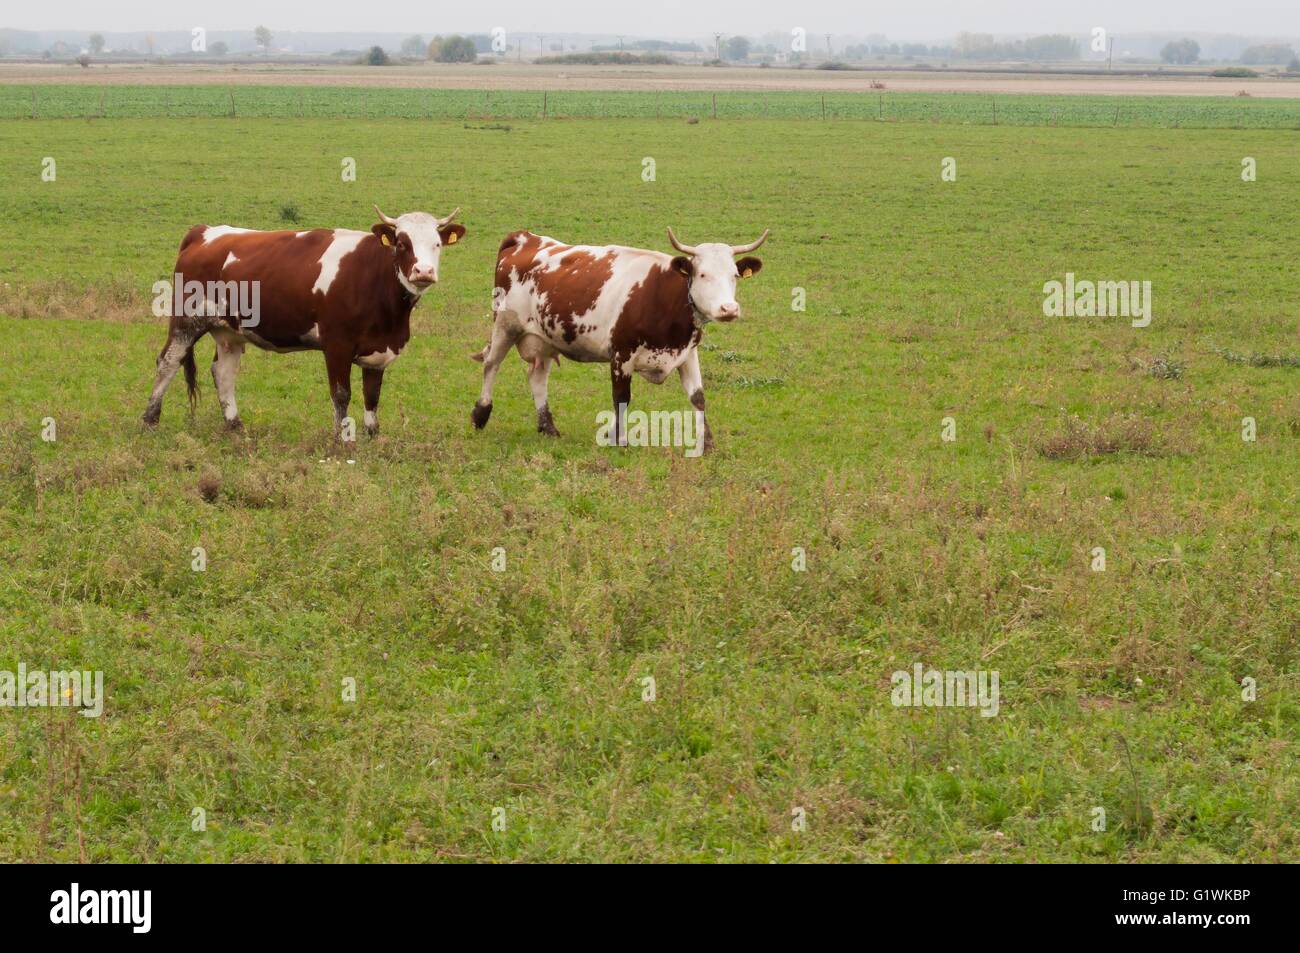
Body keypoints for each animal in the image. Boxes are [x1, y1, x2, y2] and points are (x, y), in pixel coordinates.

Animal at [141, 205, 466, 439]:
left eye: (437, 244)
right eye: (401, 243)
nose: (423, 271)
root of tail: (205, 232)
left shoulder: (379, 350)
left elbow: (372, 395)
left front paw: (374, 436)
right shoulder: (337, 345)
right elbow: (341, 394)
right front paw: (342, 438)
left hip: (229, 330)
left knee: (223, 372)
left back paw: (235, 425)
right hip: (187, 320)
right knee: (168, 361)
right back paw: (150, 420)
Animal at [470, 227, 767, 452]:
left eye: (734, 275)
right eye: (703, 274)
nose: (729, 309)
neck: (665, 296)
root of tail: (525, 238)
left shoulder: (686, 352)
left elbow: (698, 397)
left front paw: (708, 443)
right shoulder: (622, 354)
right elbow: (622, 396)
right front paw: (620, 439)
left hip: (544, 338)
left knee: (538, 378)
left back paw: (548, 426)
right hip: (505, 325)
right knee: (491, 364)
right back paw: (481, 414)